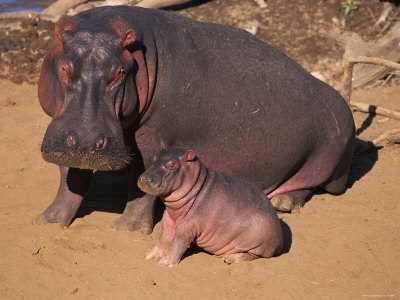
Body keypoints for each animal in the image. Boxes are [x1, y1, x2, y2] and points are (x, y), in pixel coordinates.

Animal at [139, 147, 282, 264]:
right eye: (154, 158)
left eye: (172, 164)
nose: (144, 179)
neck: (196, 185)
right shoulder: (168, 218)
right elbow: (164, 237)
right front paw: (150, 255)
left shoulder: (188, 226)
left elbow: (178, 243)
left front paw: (165, 263)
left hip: (256, 243)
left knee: (250, 255)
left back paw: (229, 259)